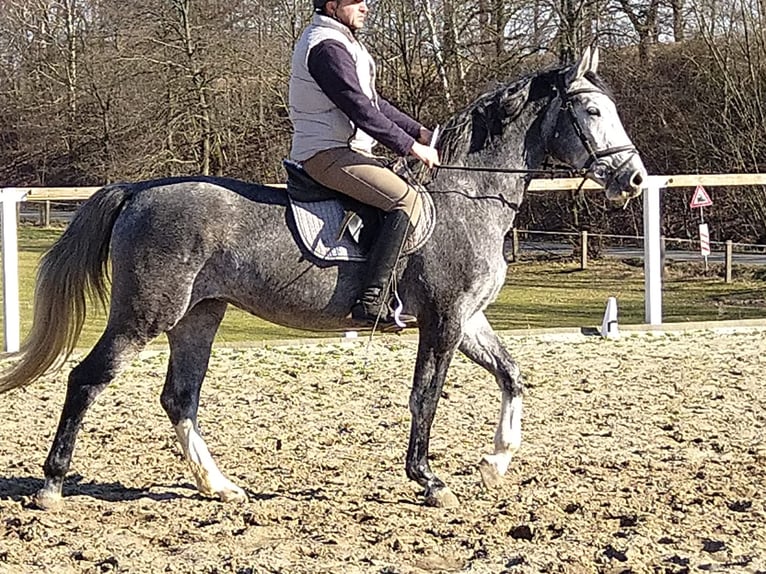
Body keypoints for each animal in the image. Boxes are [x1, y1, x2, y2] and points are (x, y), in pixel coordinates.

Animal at [0, 47, 648, 510]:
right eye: (592, 111)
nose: (636, 180)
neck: (469, 195)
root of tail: (140, 189)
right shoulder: (443, 319)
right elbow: (425, 396)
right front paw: (429, 480)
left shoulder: (468, 319)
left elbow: (512, 375)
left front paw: (496, 462)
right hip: (146, 314)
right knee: (87, 379)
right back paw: (52, 486)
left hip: (198, 315)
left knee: (179, 397)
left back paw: (220, 486)